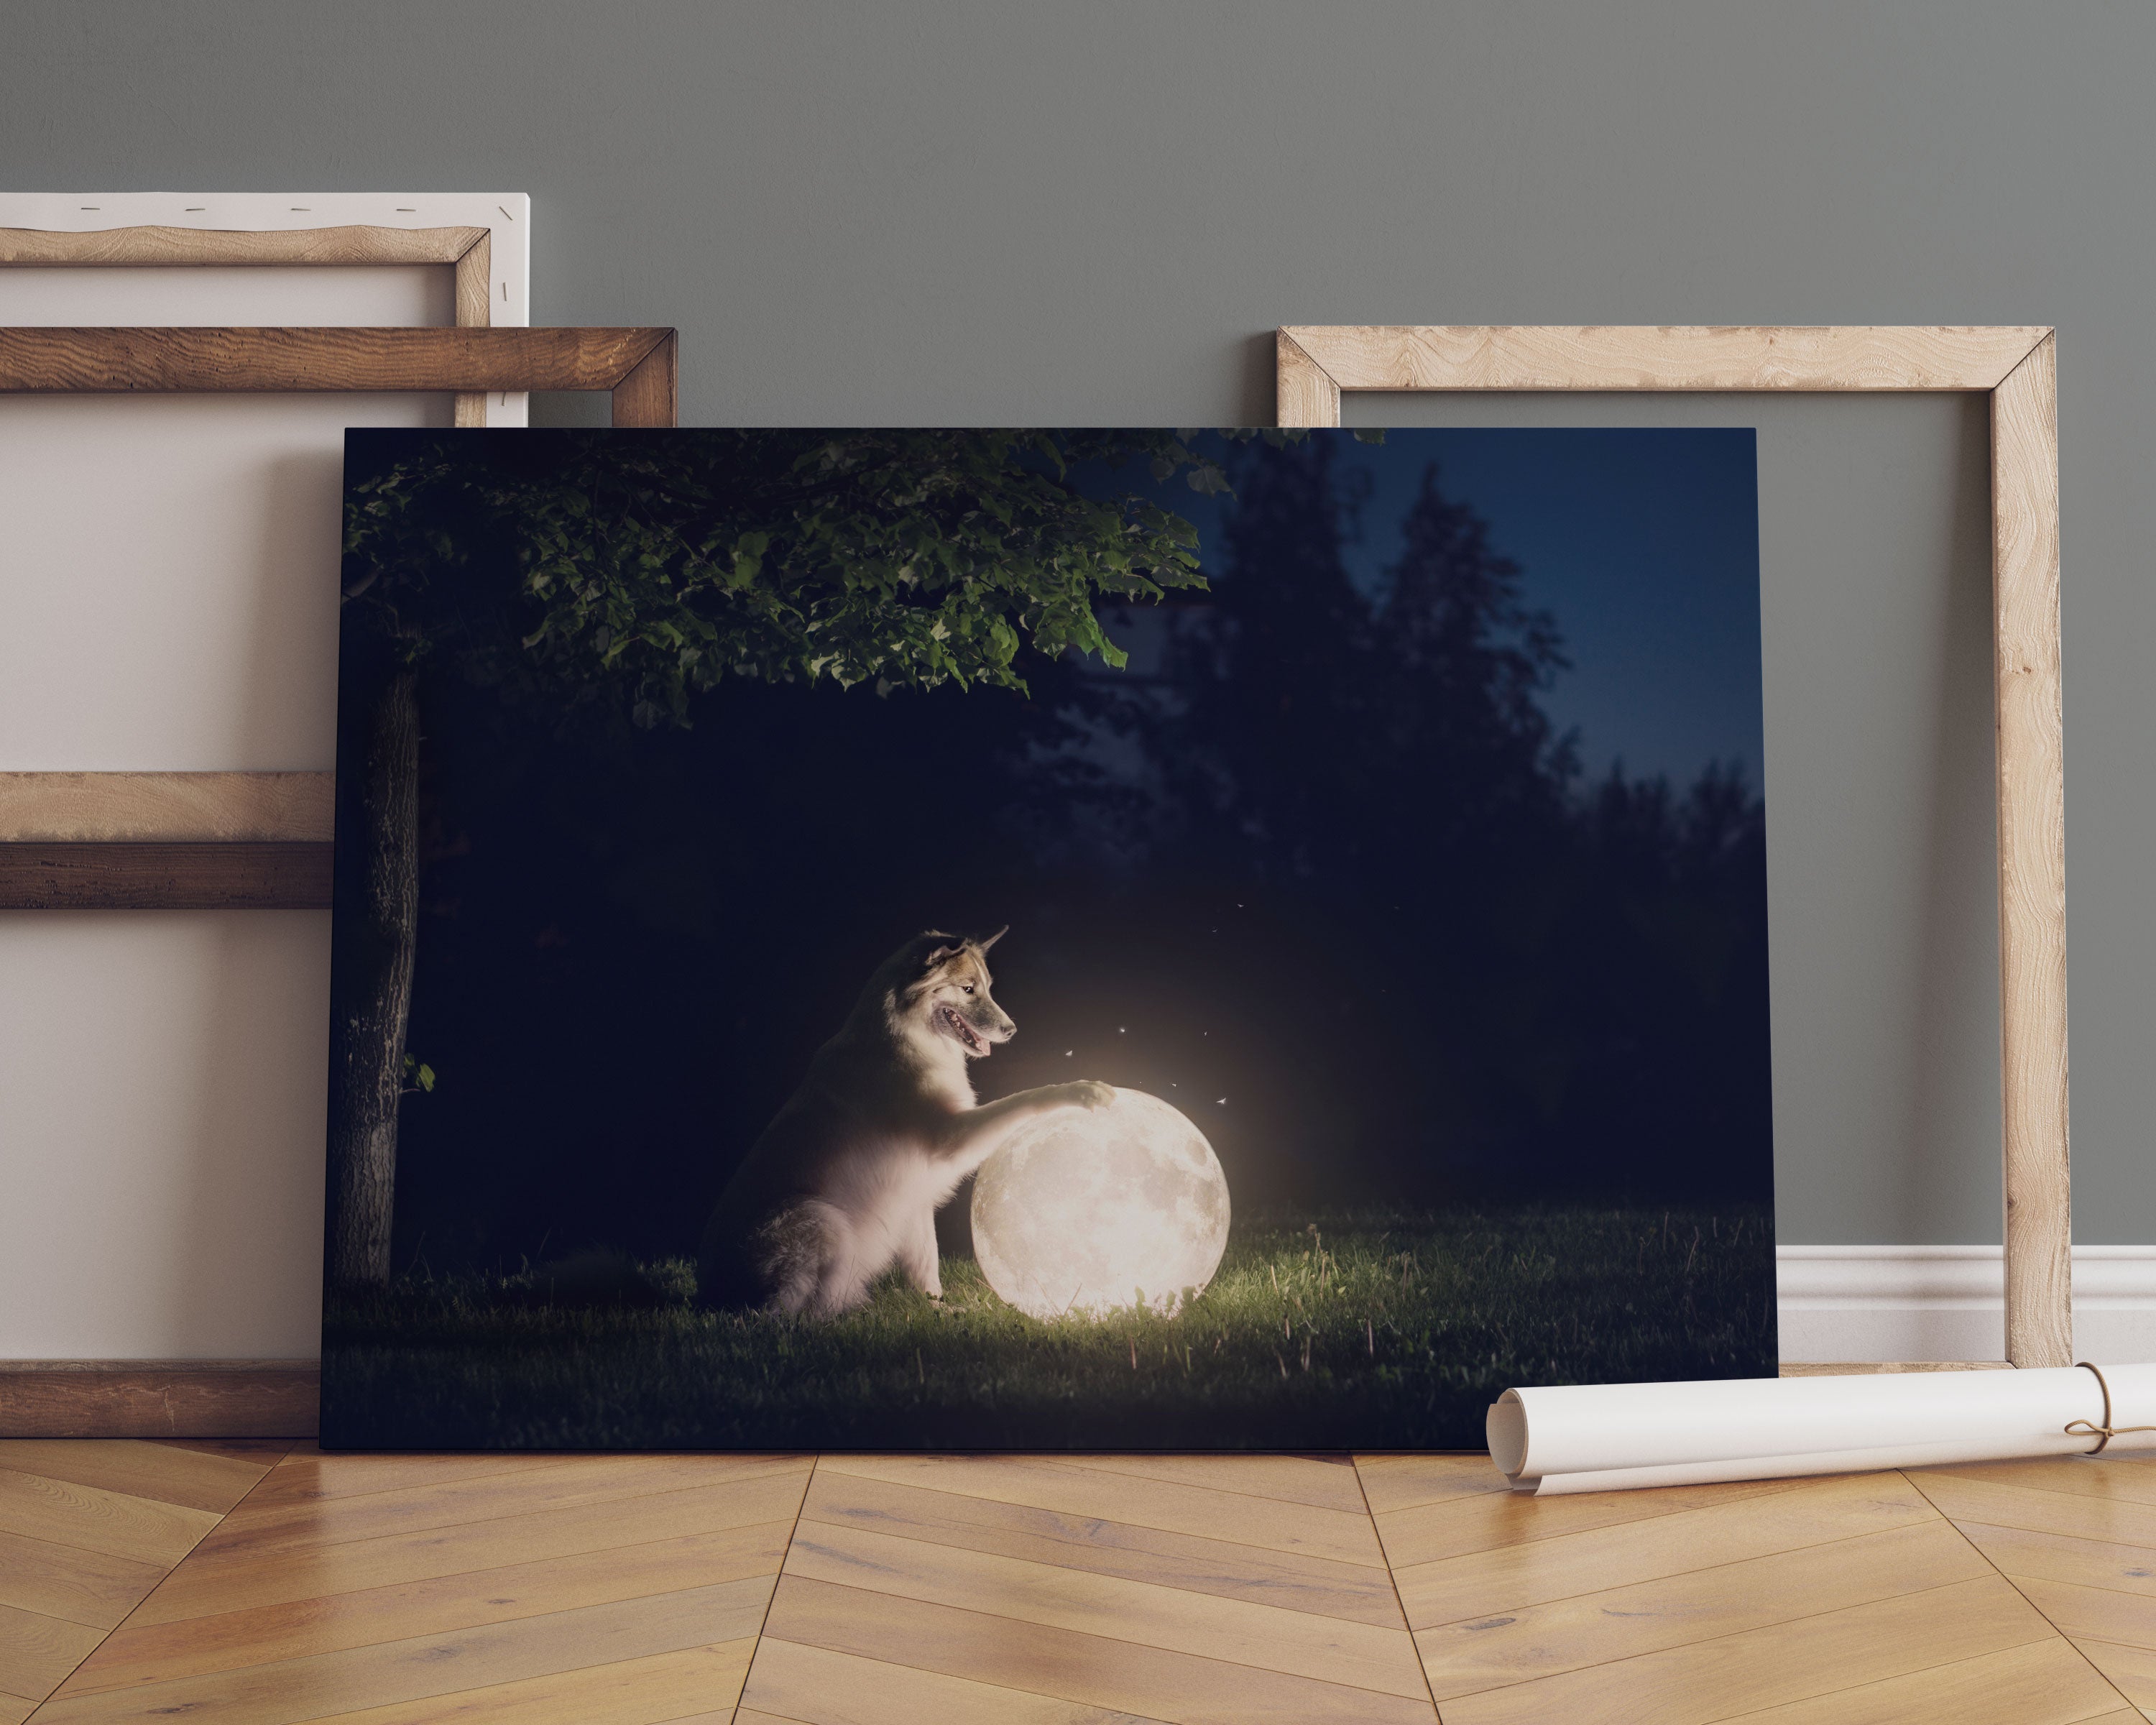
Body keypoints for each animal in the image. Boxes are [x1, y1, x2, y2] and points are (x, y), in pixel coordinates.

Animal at [699, 932, 1112, 1320]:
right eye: (968, 989)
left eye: (986, 988)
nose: (1011, 1031)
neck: (903, 1037)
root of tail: (710, 1297)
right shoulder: (952, 1138)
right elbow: (1020, 1100)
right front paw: (1078, 1090)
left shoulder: (915, 1201)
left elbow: (926, 1269)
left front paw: (939, 1310)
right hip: (820, 1219)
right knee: (789, 1315)